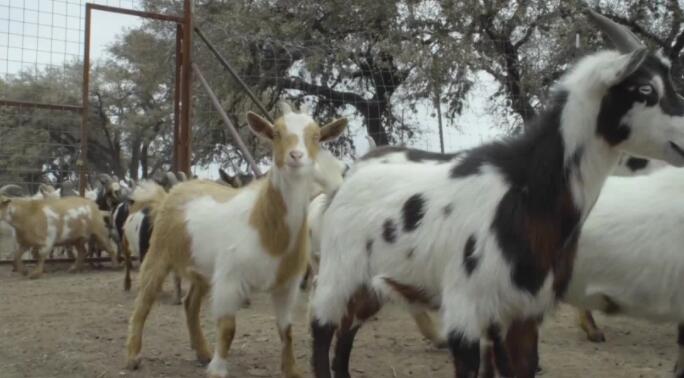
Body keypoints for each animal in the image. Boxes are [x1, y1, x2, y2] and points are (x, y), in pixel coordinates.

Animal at [124, 104, 348, 378]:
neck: (265, 225)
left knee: (190, 304)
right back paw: (133, 355)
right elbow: (228, 327)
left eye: (316, 136)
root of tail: (170, 193)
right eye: (276, 133)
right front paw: (218, 369)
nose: (296, 156)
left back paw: (202, 352)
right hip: (158, 252)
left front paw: (291, 370)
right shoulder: (230, 278)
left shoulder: (287, 285)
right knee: (144, 302)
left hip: (203, 269)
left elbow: (286, 330)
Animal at [312, 9, 684, 378]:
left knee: (345, 337)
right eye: (646, 89)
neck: (524, 190)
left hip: (371, 285)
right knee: (321, 332)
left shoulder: (523, 314)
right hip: (336, 273)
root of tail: (352, 172)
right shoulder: (465, 310)